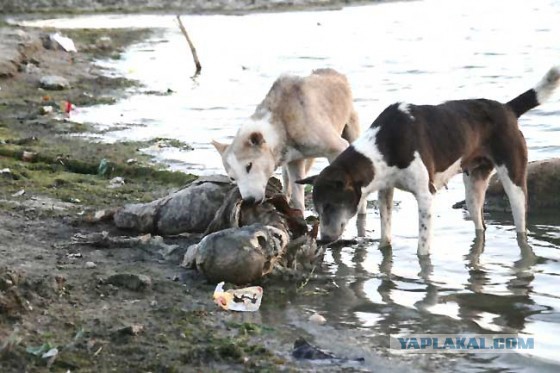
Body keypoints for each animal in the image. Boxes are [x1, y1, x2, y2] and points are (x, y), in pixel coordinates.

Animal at [212, 68, 360, 211]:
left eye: (249, 166)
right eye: (232, 178)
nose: (249, 200)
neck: (281, 123)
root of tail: (336, 73)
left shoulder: (337, 148)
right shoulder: (294, 163)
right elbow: (298, 198)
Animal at [298, 66, 560, 253]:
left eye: (330, 205)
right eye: (318, 209)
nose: (323, 239)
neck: (385, 145)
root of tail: (506, 109)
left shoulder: (425, 195)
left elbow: (422, 248)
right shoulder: (386, 191)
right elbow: (385, 235)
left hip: (514, 183)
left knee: (520, 228)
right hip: (474, 188)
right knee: (480, 225)